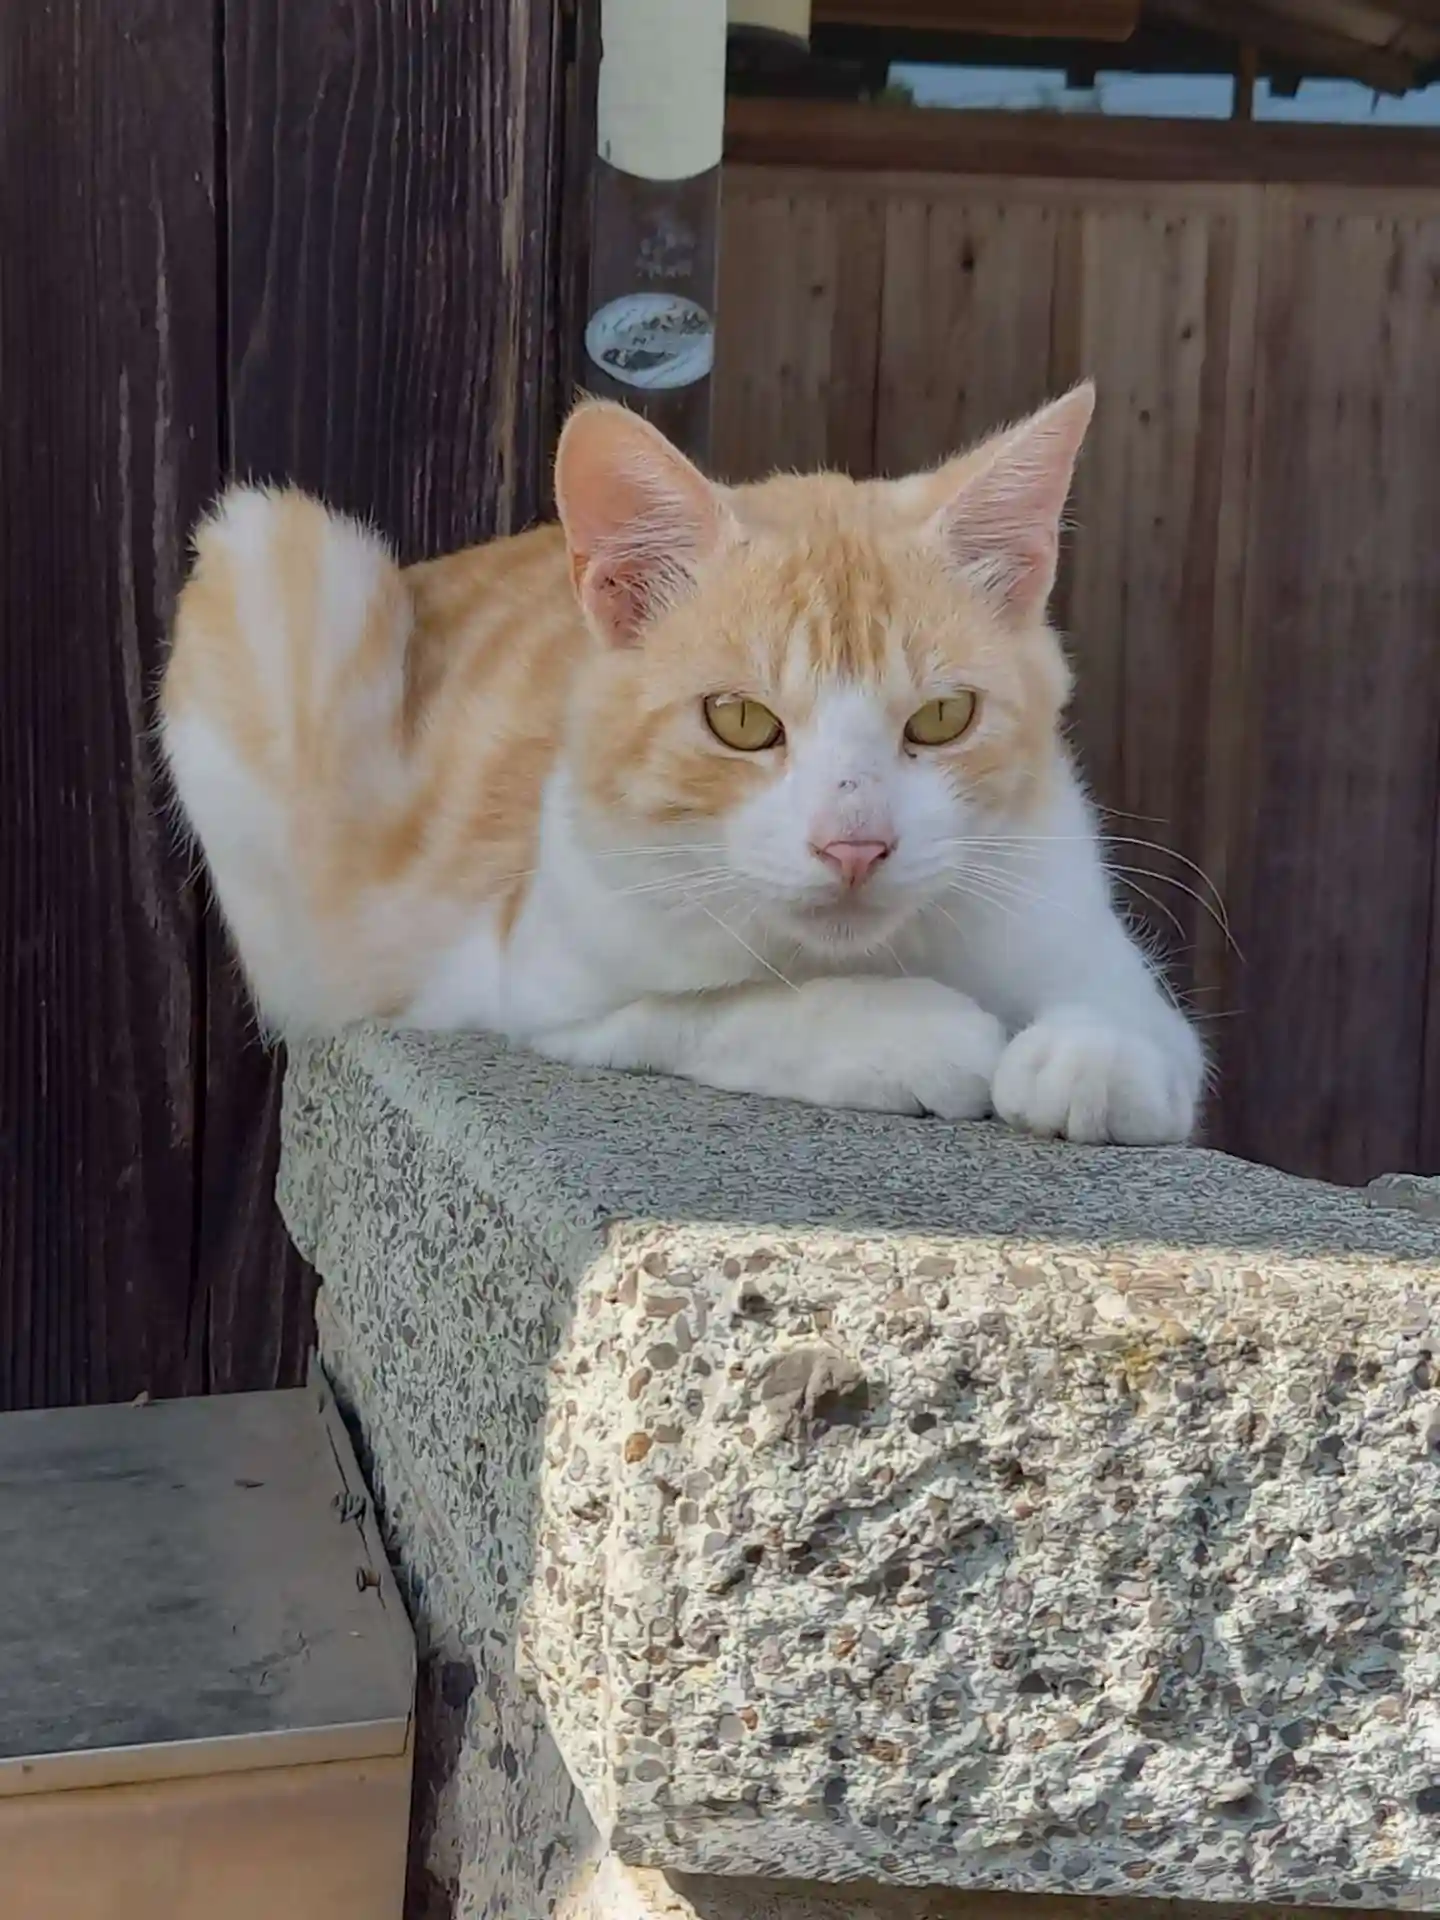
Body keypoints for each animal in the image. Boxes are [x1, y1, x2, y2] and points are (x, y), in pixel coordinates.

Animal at [160, 383, 1204, 1145]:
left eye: (944, 718)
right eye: (740, 721)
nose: (856, 846)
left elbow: (1150, 1024)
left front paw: (1100, 1056)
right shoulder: (542, 990)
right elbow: (728, 1006)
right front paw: (907, 1028)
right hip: (270, 552)